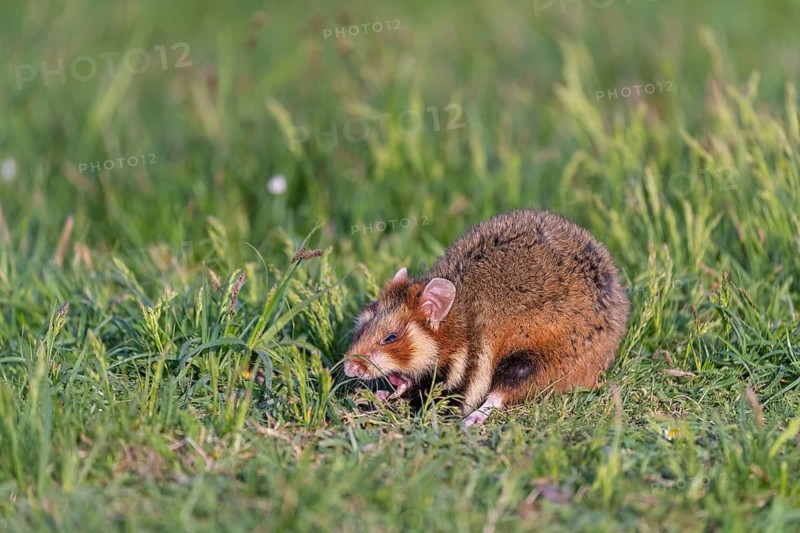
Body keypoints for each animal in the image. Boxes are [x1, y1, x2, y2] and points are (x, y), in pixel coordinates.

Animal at [343, 209, 630, 426]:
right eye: (362, 326)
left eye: (391, 337)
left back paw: (472, 420)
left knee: (501, 394)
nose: (348, 368)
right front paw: (378, 395)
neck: (460, 329)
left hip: (534, 360)